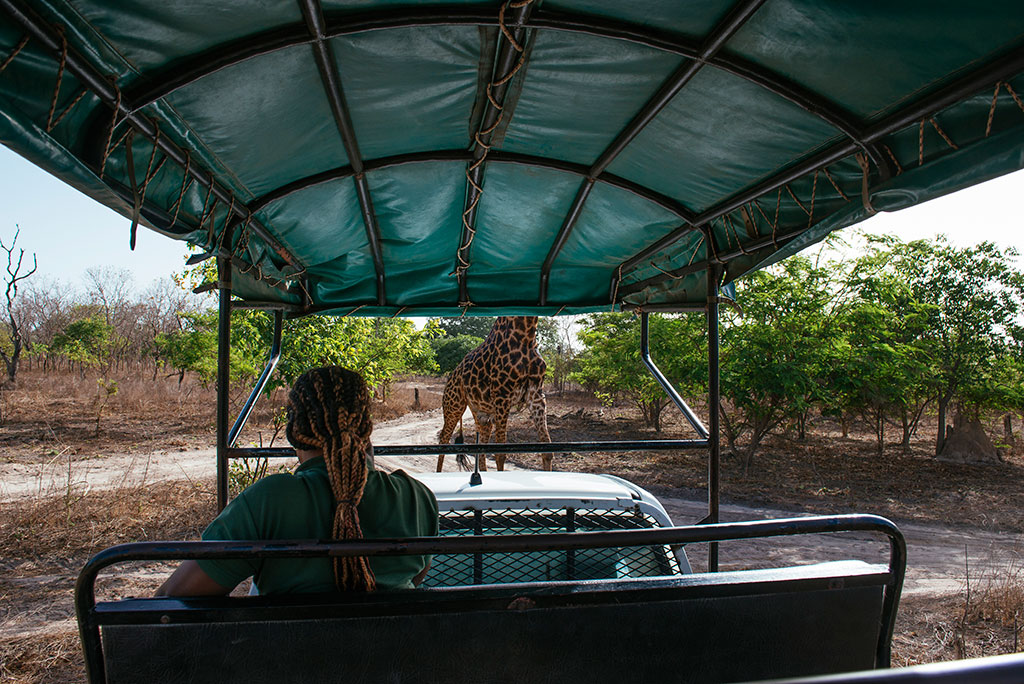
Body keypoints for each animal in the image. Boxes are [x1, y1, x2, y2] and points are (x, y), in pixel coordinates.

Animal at [438, 317, 557, 471]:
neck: (526, 335)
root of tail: (451, 376)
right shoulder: (502, 395)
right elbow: (500, 455)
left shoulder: (536, 395)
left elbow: (548, 451)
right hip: (453, 406)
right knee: (443, 441)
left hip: (481, 415)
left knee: (480, 448)